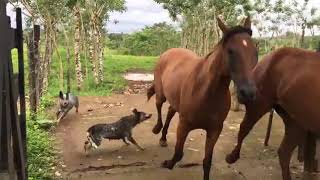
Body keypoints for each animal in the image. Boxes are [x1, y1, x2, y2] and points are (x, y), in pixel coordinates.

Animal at [148, 16, 258, 179]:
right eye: (230, 51)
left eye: (255, 52)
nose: (248, 93)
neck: (206, 93)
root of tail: (170, 51)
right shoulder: (184, 125)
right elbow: (178, 153)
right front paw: (168, 164)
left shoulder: (214, 130)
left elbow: (207, 162)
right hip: (161, 94)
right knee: (159, 104)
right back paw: (157, 129)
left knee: (169, 112)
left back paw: (163, 138)